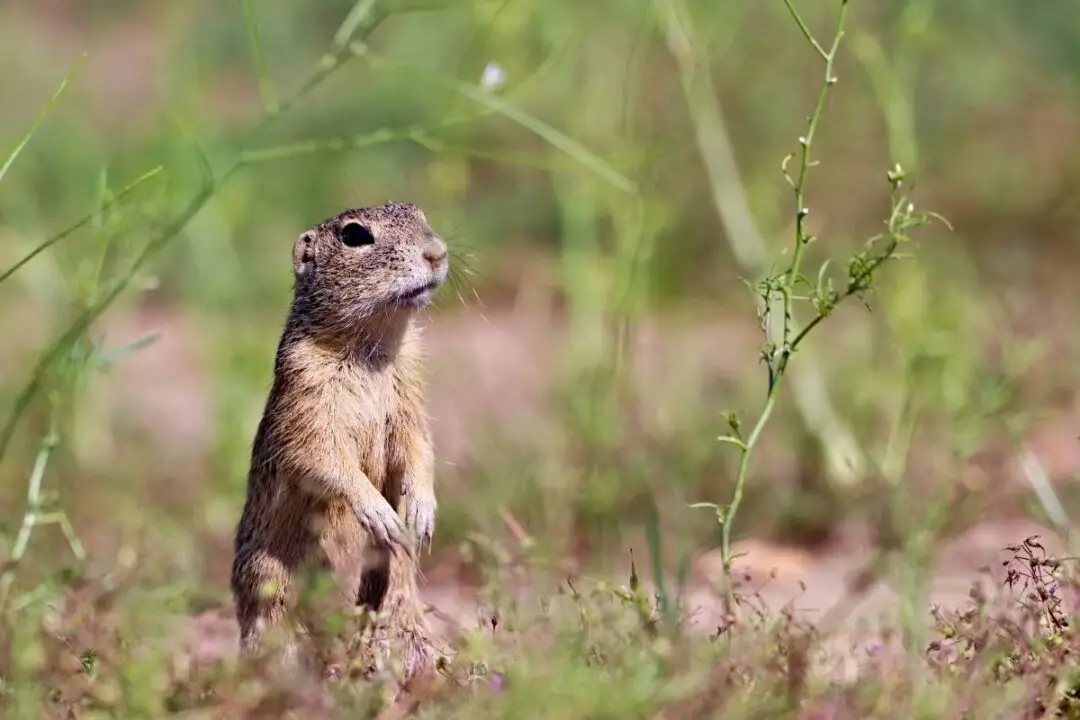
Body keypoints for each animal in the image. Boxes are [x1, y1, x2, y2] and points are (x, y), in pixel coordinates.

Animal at [230, 201, 444, 682]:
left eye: (421, 215)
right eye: (355, 235)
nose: (437, 252)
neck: (372, 346)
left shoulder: (411, 396)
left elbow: (420, 446)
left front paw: (420, 513)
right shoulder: (304, 395)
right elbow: (322, 458)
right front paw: (380, 514)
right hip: (268, 584)